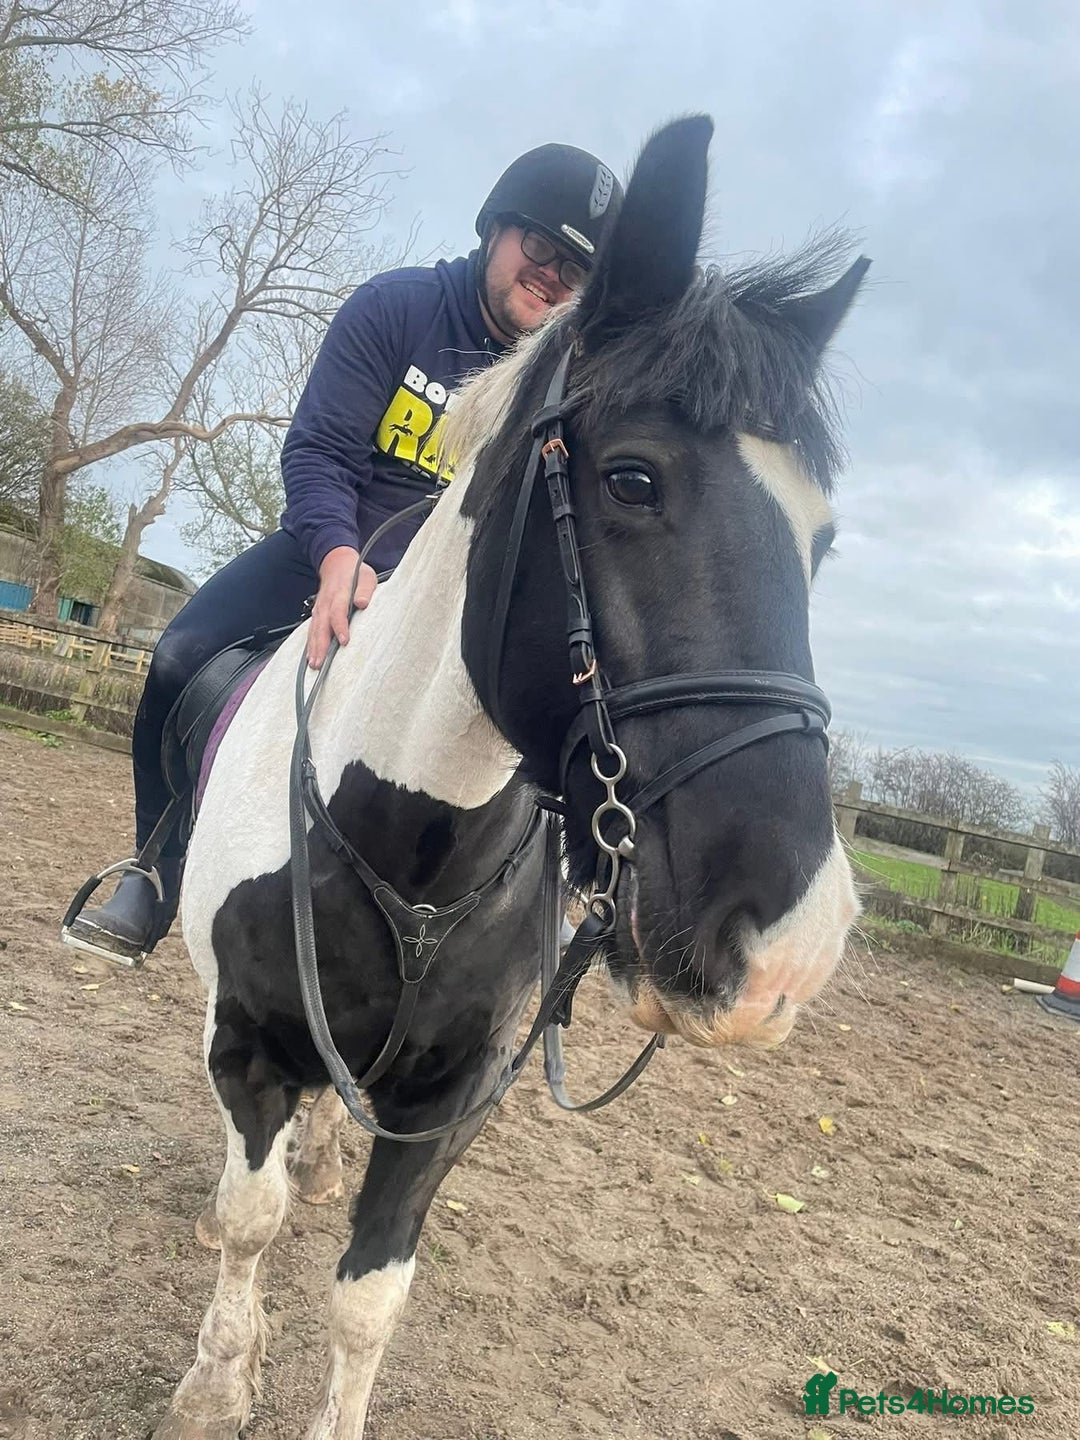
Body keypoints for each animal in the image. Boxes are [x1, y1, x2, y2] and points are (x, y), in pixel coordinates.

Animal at [152, 114, 867, 1439]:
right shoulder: (248, 1048)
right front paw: (216, 1386)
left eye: (823, 539)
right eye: (633, 478)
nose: (790, 948)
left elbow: (368, 1298)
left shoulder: (454, 1097)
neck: (414, 842)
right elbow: (248, 1220)